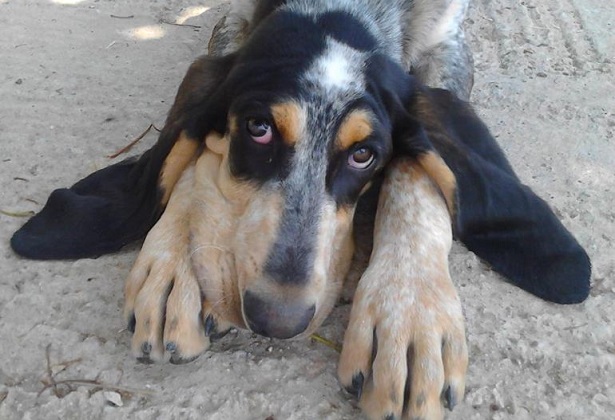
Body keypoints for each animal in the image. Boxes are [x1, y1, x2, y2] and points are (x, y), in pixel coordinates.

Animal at [11, 1, 591, 419]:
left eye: (364, 154)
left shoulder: (446, 49)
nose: (277, 320)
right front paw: (175, 267)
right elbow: (198, 152)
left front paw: (408, 315)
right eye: (257, 128)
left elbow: (419, 170)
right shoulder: (232, 26)